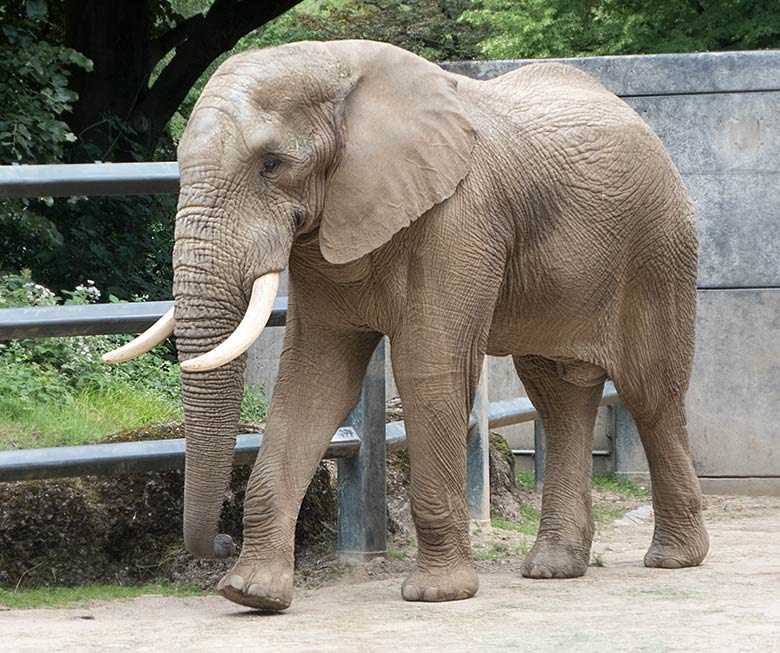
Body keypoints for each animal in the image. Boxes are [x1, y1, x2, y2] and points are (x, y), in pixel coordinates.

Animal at [103, 39, 708, 612]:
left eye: (271, 164)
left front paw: (438, 595)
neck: (339, 67)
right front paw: (251, 595)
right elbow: (315, 377)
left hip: (659, 249)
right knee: (558, 396)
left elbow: (428, 369)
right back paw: (553, 568)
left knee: (650, 391)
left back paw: (674, 559)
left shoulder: (462, 217)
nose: (220, 542)